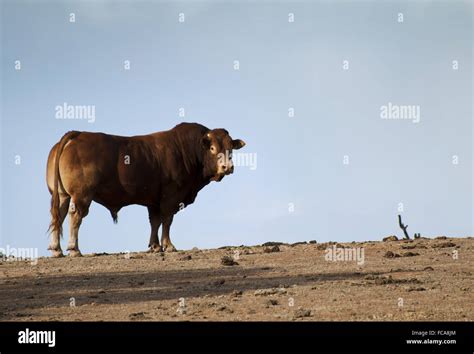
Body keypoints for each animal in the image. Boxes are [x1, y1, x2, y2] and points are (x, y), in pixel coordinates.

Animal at [46, 123, 246, 256]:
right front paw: (168, 245)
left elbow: (154, 222)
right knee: (75, 217)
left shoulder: (154, 200)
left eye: (231, 149)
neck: (186, 151)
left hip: (62, 195)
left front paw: (155, 246)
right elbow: (167, 221)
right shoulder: (170, 197)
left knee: (59, 215)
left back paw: (56, 249)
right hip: (81, 195)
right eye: (212, 148)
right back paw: (74, 249)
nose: (227, 167)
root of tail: (77, 134)